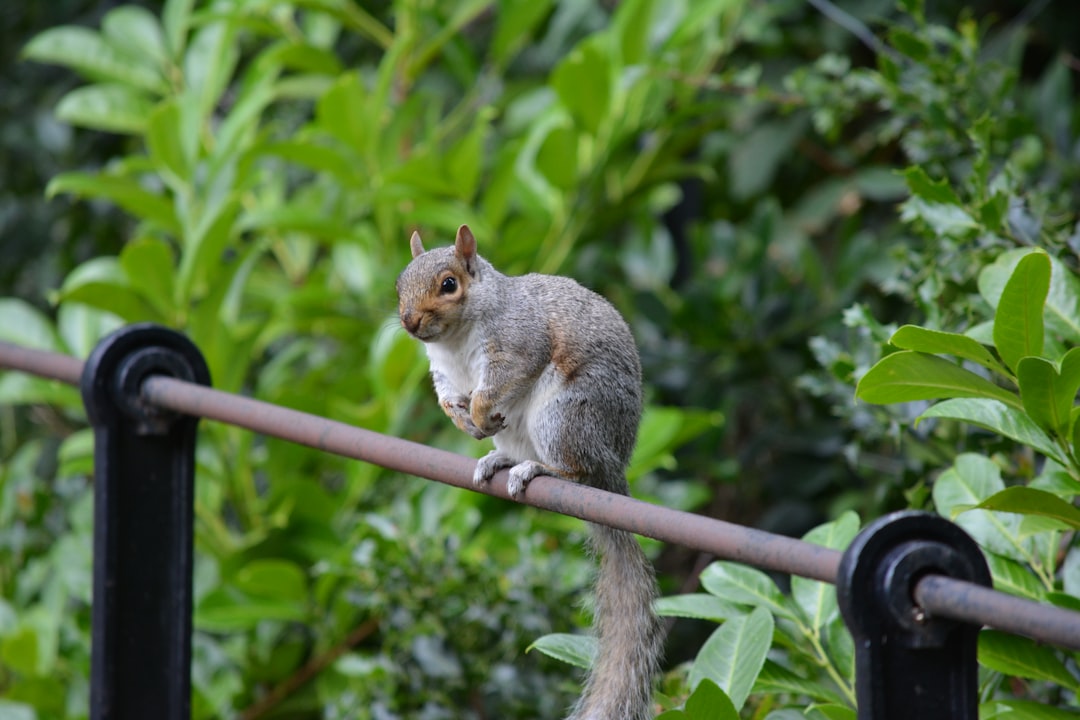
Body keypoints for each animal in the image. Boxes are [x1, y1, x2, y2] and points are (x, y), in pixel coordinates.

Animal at [397, 226, 660, 720]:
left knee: (577, 471)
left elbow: (502, 379)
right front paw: (462, 419)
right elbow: (446, 395)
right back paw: (496, 460)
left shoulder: (518, 341)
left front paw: (479, 411)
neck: (454, 340)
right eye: (399, 285)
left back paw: (538, 469)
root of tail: (615, 469)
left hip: (564, 417)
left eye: (449, 285)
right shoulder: (443, 370)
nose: (408, 322)